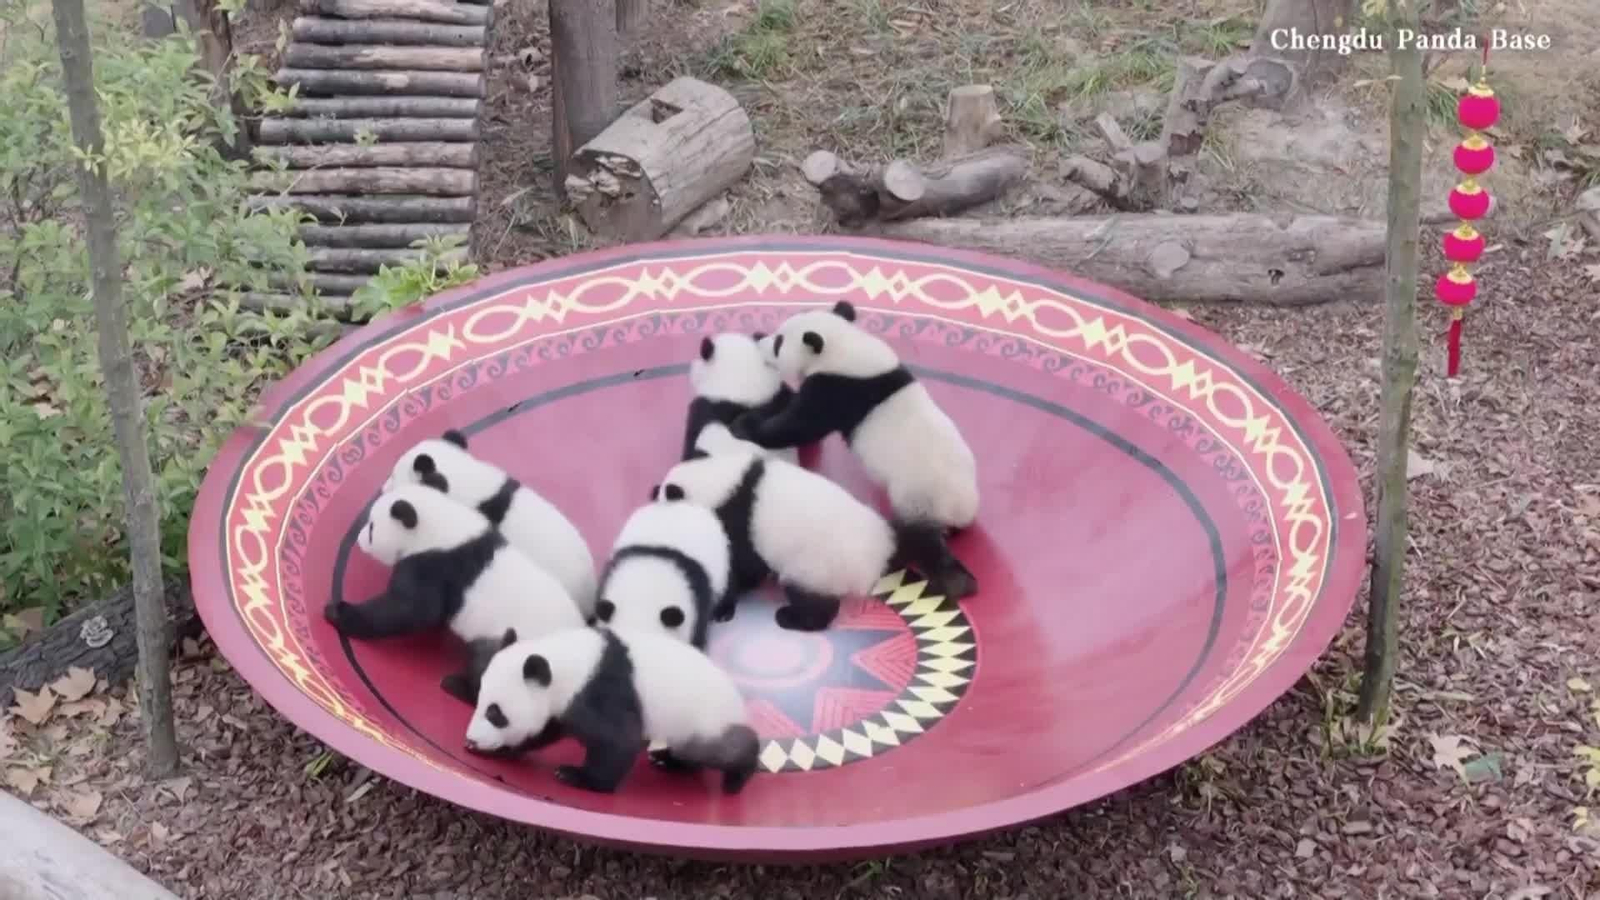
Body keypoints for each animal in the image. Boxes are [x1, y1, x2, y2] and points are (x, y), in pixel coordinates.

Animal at [327, 482, 586, 703]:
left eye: (372, 527)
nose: (360, 539)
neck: (441, 524)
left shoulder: (434, 565)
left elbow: (412, 610)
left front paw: (338, 612)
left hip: (520, 649)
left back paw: (456, 686)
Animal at [462, 625, 761, 795]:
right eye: (479, 700)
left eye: (495, 713)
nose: (471, 739)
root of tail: (737, 700)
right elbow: (545, 730)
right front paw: (499, 750)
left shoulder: (601, 691)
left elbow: (618, 741)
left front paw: (576, 776)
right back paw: (668, 760)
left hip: (704, 718)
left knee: (719, 749)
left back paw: (736, 777)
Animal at [654, 450, 896, 632]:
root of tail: (875, 559)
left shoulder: (735, 522)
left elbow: (734, 565)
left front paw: (722, 610)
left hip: (818, 563)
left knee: (812, 601)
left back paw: (790, 618)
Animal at [734, 300, 981, 600]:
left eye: (780, 343)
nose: (762, 342)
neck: (843, 346)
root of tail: (960, 508)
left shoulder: (835, 389)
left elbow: (799, 424)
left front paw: (745, 425)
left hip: (918, 495)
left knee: (923, 538)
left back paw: (955, 581)